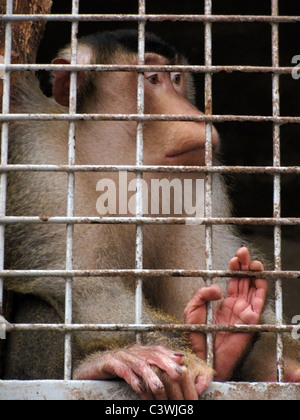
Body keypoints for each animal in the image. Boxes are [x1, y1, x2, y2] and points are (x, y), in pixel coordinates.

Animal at [2, 30, 300, 400]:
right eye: (153, 78)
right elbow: (85, 287)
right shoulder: (40, 165)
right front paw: (152, 354)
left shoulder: (197, 185)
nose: (190, 114)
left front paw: (238, 336)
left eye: (177, 78)